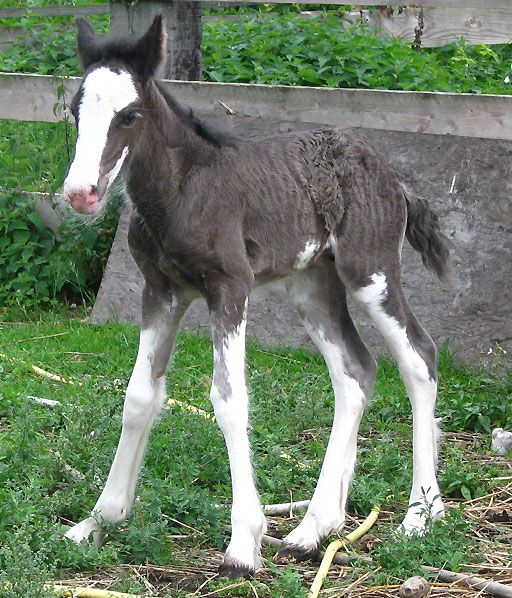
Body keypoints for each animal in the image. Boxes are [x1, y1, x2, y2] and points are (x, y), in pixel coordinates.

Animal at [63, 18, 448, 580]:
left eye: (129, 115)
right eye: (75, 109)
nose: (81, 193)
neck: (181, 193)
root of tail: (394, 177)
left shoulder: (230, 286)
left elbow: (229, 399)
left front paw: (243, 543)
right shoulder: (161, 291)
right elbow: (139, 396)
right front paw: (99, 520)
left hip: (369, 272)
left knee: (419, 358)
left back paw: (421, 514)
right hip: (312, 284)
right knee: (356, 372)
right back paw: (314, 529)